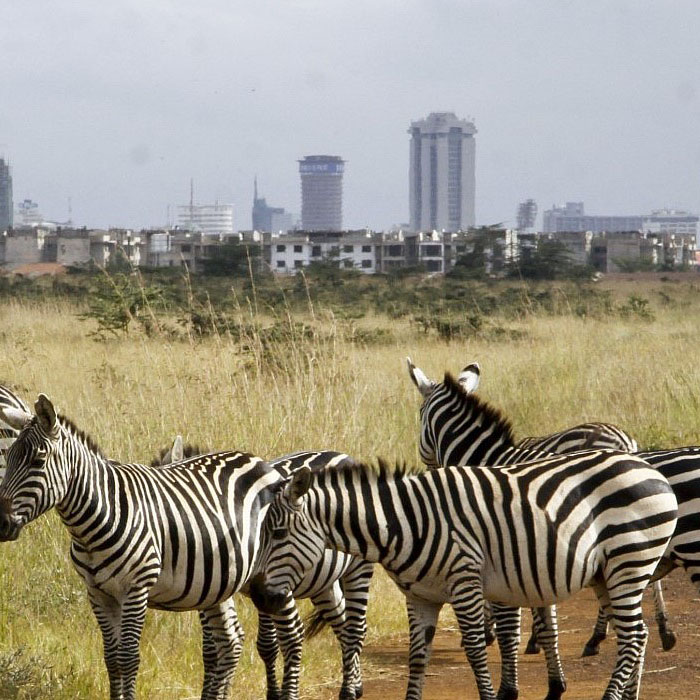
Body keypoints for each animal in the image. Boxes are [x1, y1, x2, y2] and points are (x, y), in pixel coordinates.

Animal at [0, 394, 306, 700]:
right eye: (9, 456)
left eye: (38, 460)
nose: (1, 522)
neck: (96, 520)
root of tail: (259, 461)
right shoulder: (98, 593)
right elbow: (111, 658)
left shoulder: (136, 589)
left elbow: (127, 657)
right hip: (223, 582)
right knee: (229, 640)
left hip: (275, 572)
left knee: (292, 636)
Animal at [150, 438, 374, 700]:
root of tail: (342, 454)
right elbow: (217, 648)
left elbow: (281, 638)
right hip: (324, 584)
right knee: (342, 623)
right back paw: (354, 684)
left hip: (358, 568)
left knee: (356, 628)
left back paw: (349, 689)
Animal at [250, 456, 680, 700]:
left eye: (278, 534)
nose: (258, 596)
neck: (404, 523)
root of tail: (649, 468)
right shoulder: (419, 595)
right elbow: (417, 656)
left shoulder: (465, 581)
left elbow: (474, 650)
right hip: (608, 573)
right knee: (637, 635)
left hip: (630, 560)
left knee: (633, 636)